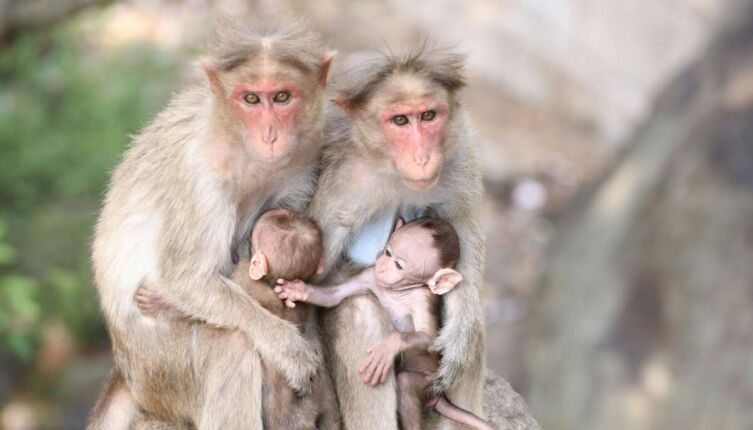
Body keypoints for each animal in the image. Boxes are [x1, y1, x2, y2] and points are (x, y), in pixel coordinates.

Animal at [276, 217, 495, 430]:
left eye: (399, 265)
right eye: (388, 252)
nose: (382, 265)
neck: (397, 291)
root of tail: (438, 398)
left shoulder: (421, 299)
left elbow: (429, 337)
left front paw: (389, 346)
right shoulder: (370, 276)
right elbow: (334, 295)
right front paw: (298, 290)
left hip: (428, 383)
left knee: (406, 384)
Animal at [307, 47, 486, 429]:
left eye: (428, 115)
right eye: (400, 121)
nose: (422, 157)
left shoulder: (461, 154)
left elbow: (464, 233)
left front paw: (459, 339)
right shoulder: (342, 182)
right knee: (358, 310)